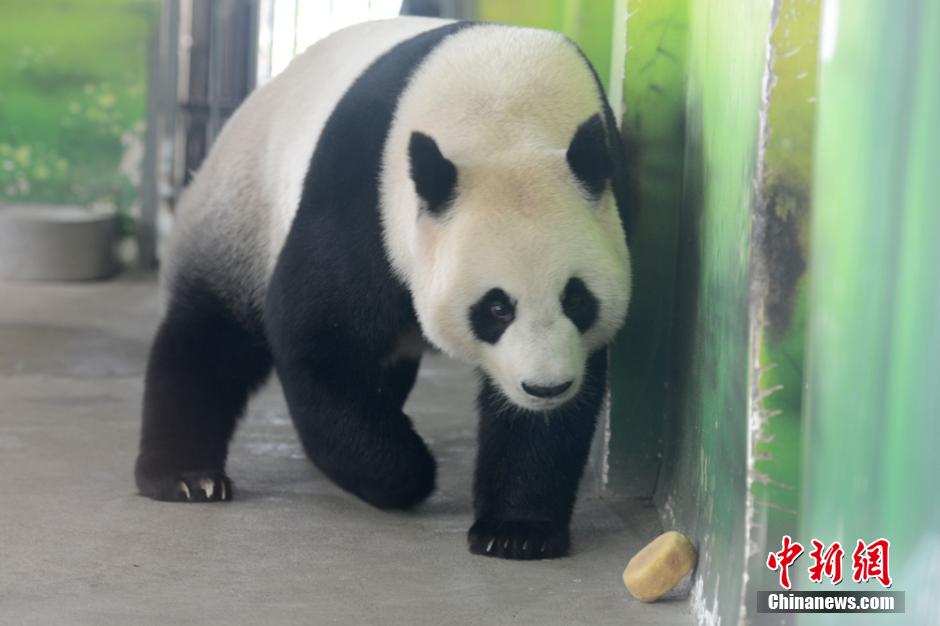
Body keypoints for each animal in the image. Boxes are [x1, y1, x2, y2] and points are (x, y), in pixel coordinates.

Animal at [136, 17, 636, 560]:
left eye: (576, 298)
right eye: (497, 308)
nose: (545, 387)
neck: (505, 112)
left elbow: (560, 408)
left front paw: (517, 531)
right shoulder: (361, 197)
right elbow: (318, 340)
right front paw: (405, 473)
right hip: (242, 211)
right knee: (210, 340)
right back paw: (187, 477)